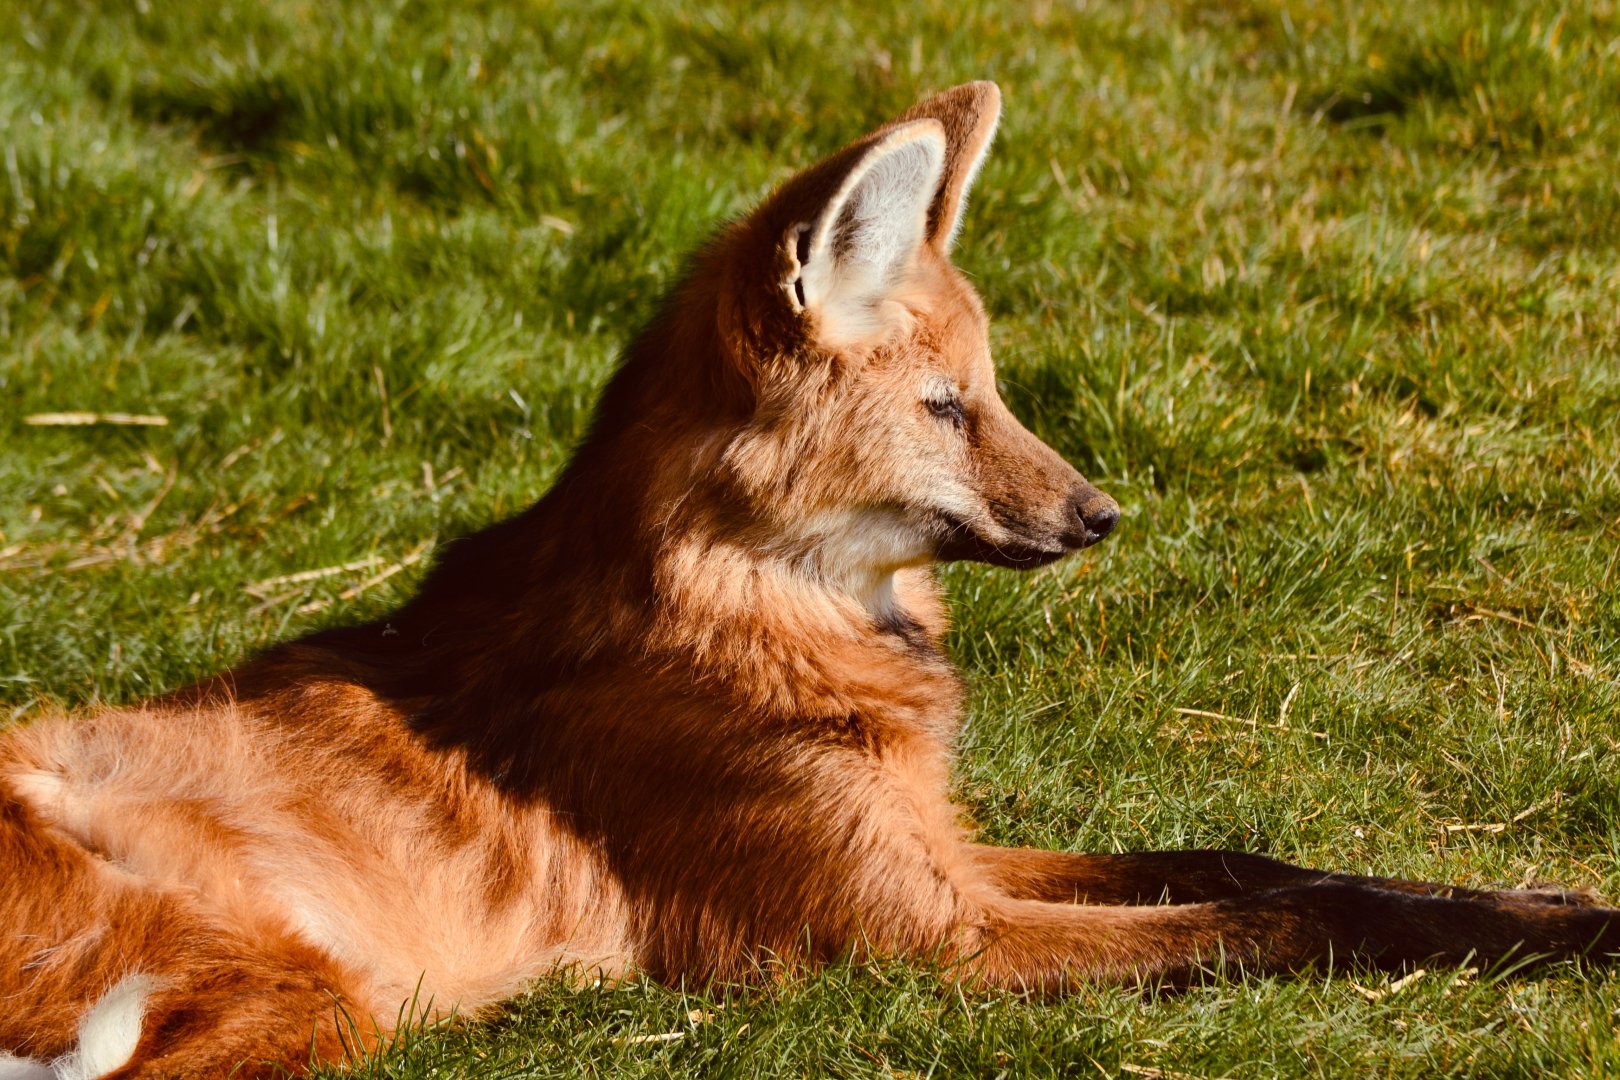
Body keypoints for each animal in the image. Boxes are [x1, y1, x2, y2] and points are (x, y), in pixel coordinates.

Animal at [2, 82, 1615, 1079]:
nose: (1100, 515)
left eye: (991, 392)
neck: (770, 617)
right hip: (310, 988)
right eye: (948, 408)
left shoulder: (940, 855)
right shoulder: (921, 944)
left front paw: (1553, 910)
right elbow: (1275, 926)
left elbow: (1257, 865)